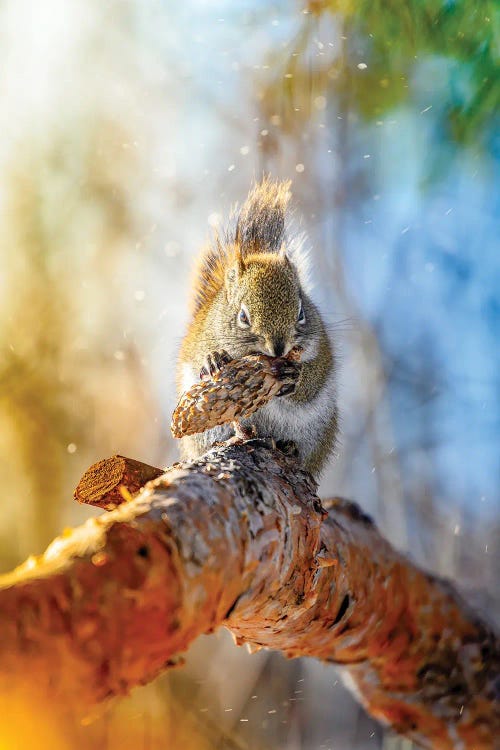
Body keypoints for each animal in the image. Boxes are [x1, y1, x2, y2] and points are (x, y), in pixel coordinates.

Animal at [178, 178, 338, 476]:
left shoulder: (322, 348)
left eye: (301, 312)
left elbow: (314, 379)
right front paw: (213, 361)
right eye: (243, 317)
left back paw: (289, 447)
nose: (278, 348)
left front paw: (295, 376)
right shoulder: (201, 338)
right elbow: (200, 359)